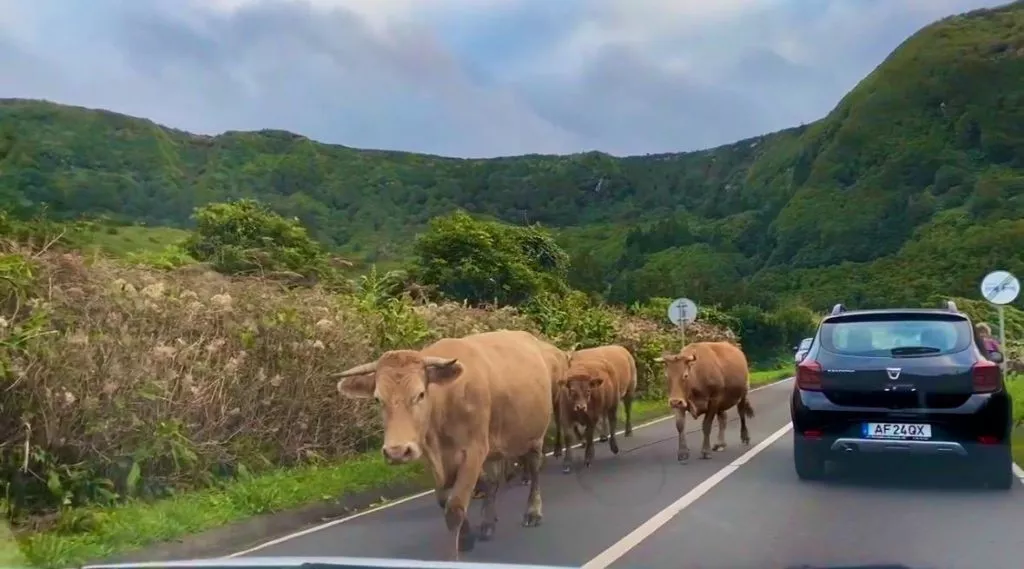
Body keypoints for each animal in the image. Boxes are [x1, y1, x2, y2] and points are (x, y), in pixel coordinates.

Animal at [334, 330, 553, 560]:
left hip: (534, 436)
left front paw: (454, 553)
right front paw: (466, 537)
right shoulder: (433, 458)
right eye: (378, 399)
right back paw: (488, 523)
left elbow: (455, 506)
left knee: (534, 470)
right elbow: (444, 500)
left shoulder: (473, 451)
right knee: (493, 481)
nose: (396, 452)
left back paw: (533, 512)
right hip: (495, 445)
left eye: (420, 394)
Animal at [556, 344, 637, 473]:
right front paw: (567, 462)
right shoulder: (566, 415)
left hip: (627, 391)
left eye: (588, 391)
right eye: (572, 391)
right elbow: (570, 436)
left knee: (622, 414)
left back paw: (624, 435)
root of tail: (621, 347)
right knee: (605, 417)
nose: (581, 407)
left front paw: (588, 455)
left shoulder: (592, 416)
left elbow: (589, 434)